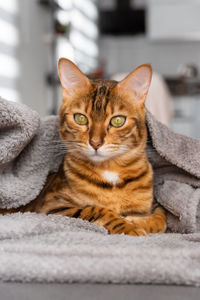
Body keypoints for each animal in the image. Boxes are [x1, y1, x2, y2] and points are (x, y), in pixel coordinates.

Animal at [1, 58, 167, 237]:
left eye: (118, 120)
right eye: (80, 118)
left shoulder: (154, 204)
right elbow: (95, 209)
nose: (95, 143)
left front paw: (137, 221)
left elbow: (161, 216)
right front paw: (128, 227)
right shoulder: (51, 206)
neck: (110, 171)